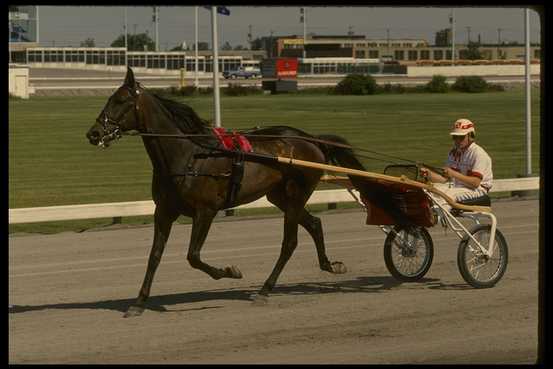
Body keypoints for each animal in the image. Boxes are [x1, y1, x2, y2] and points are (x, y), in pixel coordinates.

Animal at [84, 67, 396, 318]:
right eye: (109, 99)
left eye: (120, 101)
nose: (94, 133)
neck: (188, 156)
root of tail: (310, 139)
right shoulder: (164, 212)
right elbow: (154, 256)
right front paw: (138, 303)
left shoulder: (206, 211)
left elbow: (193, 256)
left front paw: (230, 272)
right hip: (280, 196)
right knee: (315, 224)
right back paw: (330, 265)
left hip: (297, 194)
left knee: (290, 242)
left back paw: (265, 289)